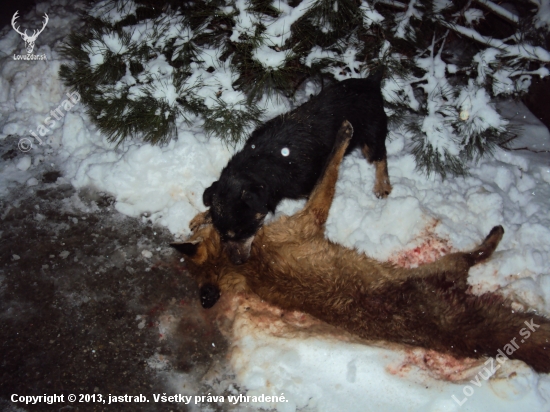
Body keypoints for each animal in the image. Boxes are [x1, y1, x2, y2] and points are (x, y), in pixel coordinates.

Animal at [175, 121, 550, 374]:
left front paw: (200, 214)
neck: (244, 268)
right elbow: (330, 171)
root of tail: (445, 326)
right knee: (476, 255)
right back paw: (494, 235)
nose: (241, 258)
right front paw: (343, 136)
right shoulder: (310, 217)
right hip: (448, 266)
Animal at [194, 74, 392, 264]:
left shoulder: (310, 187)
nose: (236, 262)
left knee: (381, 157)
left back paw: (382, 185)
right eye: (221, 235)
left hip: (371, 139)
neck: (264, 164)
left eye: (244, 230)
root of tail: (371, 82)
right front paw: (202, 217)